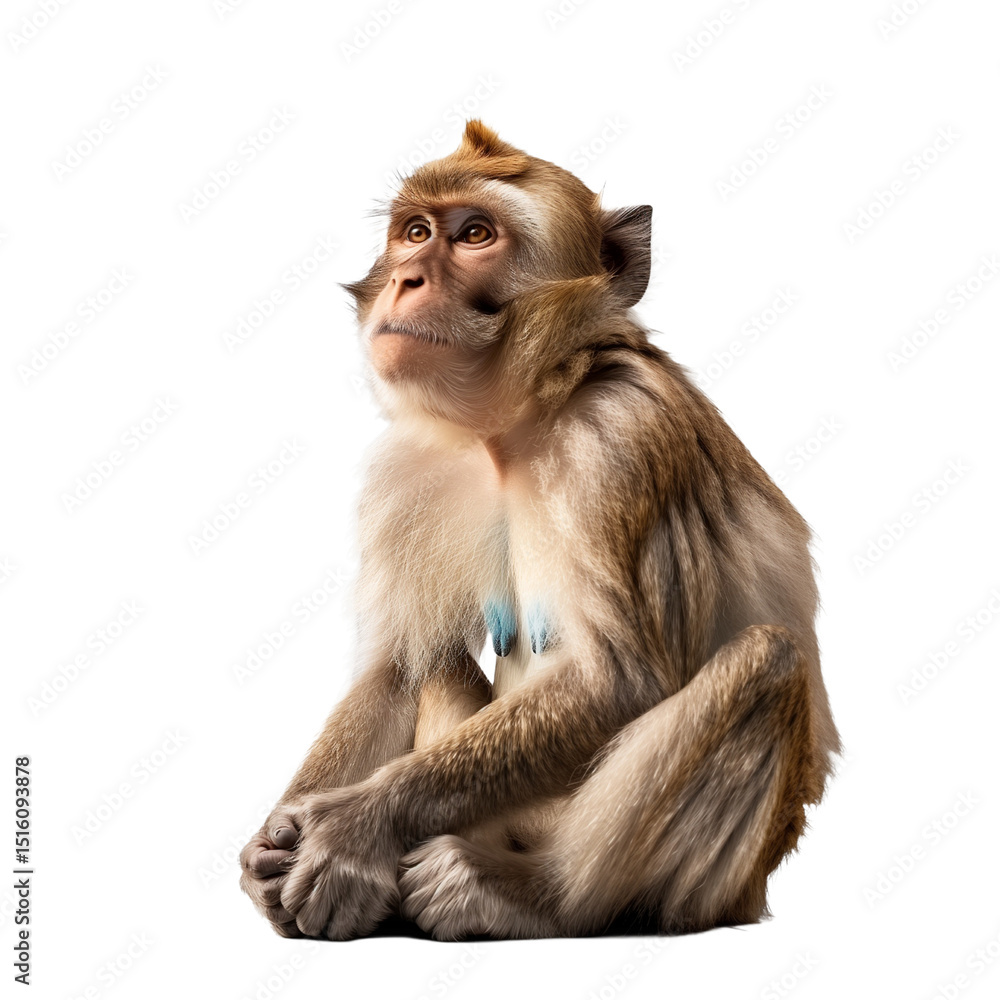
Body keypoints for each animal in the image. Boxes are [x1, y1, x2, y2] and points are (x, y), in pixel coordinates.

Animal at [239, 120, 840, 941]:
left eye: (476, 235)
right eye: (415, 232)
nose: (408, 279)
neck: (518, 421)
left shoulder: (621, 436)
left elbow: (617, 679)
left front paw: (352, 827)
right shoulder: (410, 467)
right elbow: (396, 668)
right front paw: (275, 844)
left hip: (699, 879)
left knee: (766, 660)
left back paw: (532, 896)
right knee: (435, 661)